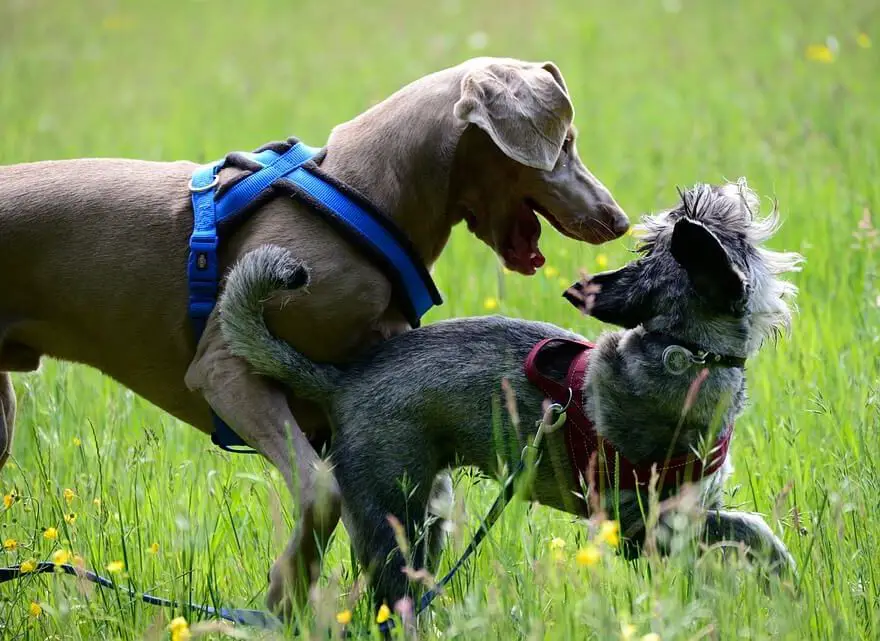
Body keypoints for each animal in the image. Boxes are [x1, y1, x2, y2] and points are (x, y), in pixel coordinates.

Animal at [3, 56, 628, 616]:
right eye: (565, 142)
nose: (618, 220)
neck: (362, 193)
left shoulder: (357, 410)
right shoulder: (226, 372)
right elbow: (321, 494)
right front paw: (286, 596)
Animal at [217, 179, 800, 608]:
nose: (722, 193)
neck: (685, 349)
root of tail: (341, 380)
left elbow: (747, 533)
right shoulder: (644, 527)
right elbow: (746, 530)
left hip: (426, 518)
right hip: (391, 516)